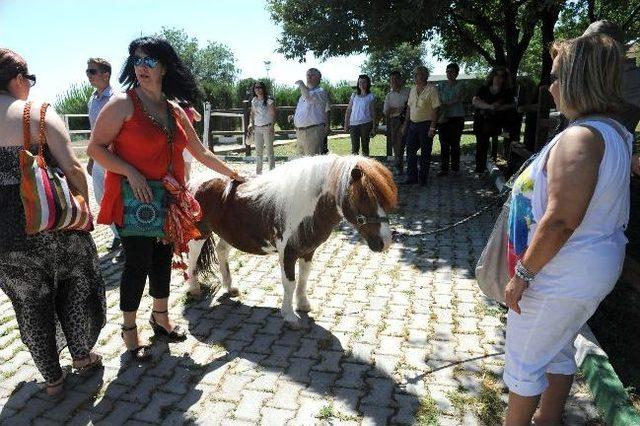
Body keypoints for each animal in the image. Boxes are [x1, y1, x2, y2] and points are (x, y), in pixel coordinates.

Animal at [185, 155, 398, 328]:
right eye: (364, 198)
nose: (385, 242)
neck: (305, 208)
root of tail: (195, 182)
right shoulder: (287, 253)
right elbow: (290, 283)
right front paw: (289, 316)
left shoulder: (308, 251)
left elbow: (303, 278)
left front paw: (303, 305)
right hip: (200, 234)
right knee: (192, 259)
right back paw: (194, 289)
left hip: (228, 234)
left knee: (221, 251)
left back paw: (230, 287)